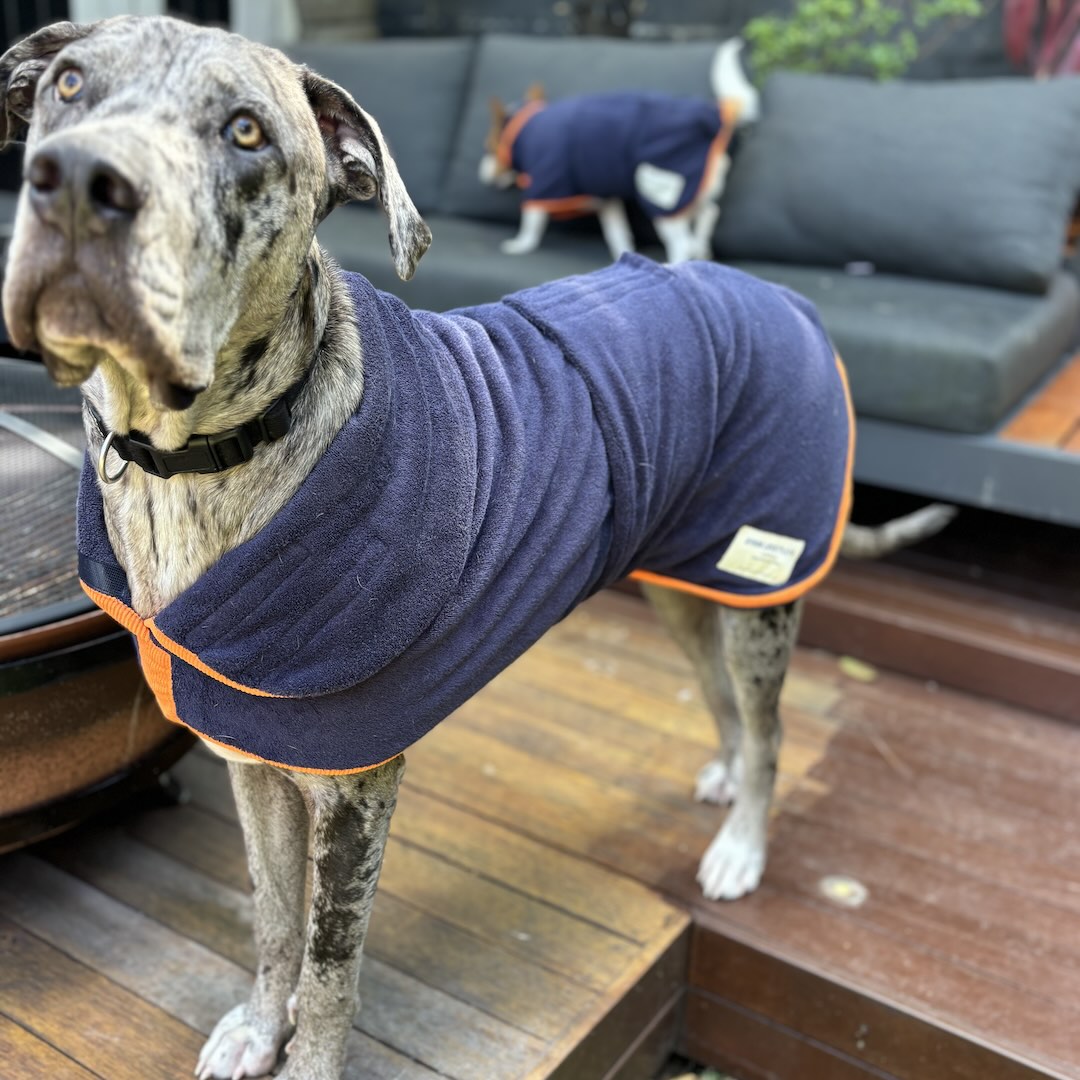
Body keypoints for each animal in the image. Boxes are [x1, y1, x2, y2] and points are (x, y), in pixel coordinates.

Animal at [481, 41, 760, 264]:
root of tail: (713, 117)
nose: (481, 174)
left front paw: (520, 244)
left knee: (682, 242)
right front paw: (622, 256)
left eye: (487, 147)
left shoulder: (546, 181)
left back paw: (678, 263)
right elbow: (618, 233)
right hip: (695, 187)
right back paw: (701, 249)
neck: (525, 125)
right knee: (709, 214)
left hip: (661, 192)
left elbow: (531, 220)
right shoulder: (608, 200)